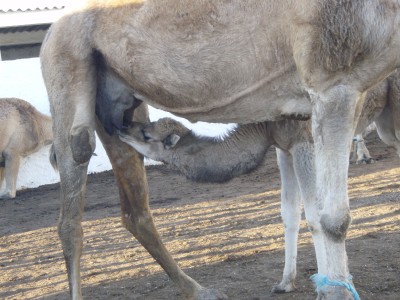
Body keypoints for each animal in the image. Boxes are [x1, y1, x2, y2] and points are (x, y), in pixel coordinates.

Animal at [39, 0, 400, 300]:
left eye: (148, 134)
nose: (126, 129)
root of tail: (51, 31)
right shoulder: (328, 89)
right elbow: (322, 216)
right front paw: (322, 288)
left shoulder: (297, 133)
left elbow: (304, 213)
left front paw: (302, 283)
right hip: (69, 75)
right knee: (75, 196)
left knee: (134, 212)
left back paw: (199, 290)